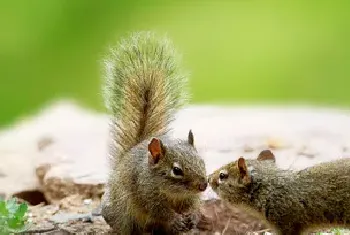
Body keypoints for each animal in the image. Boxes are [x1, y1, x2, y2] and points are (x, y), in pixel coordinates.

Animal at [99, 31, 208, 235]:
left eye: (202, 162)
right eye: (176, 170)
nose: (203, 185)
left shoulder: (189, 198)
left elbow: (191, 206)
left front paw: (192, 216)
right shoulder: (147, 193)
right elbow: (161, 211)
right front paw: (175, 220)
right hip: (123, 213)